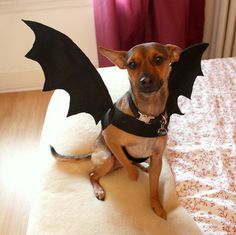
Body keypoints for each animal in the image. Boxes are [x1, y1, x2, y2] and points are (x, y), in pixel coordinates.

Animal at [51, 41, 181, 218]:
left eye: (158, 59)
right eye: (131, 65)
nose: (145, 81)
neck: (145, 116)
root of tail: (92, 153)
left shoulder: (156, 159)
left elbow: (153, 188)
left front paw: (156, 205)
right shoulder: (110, 139)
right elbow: (125, 161)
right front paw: (132, 175)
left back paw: (143, 167)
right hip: (106, 159)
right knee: (93, 174)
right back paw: (99, 189)